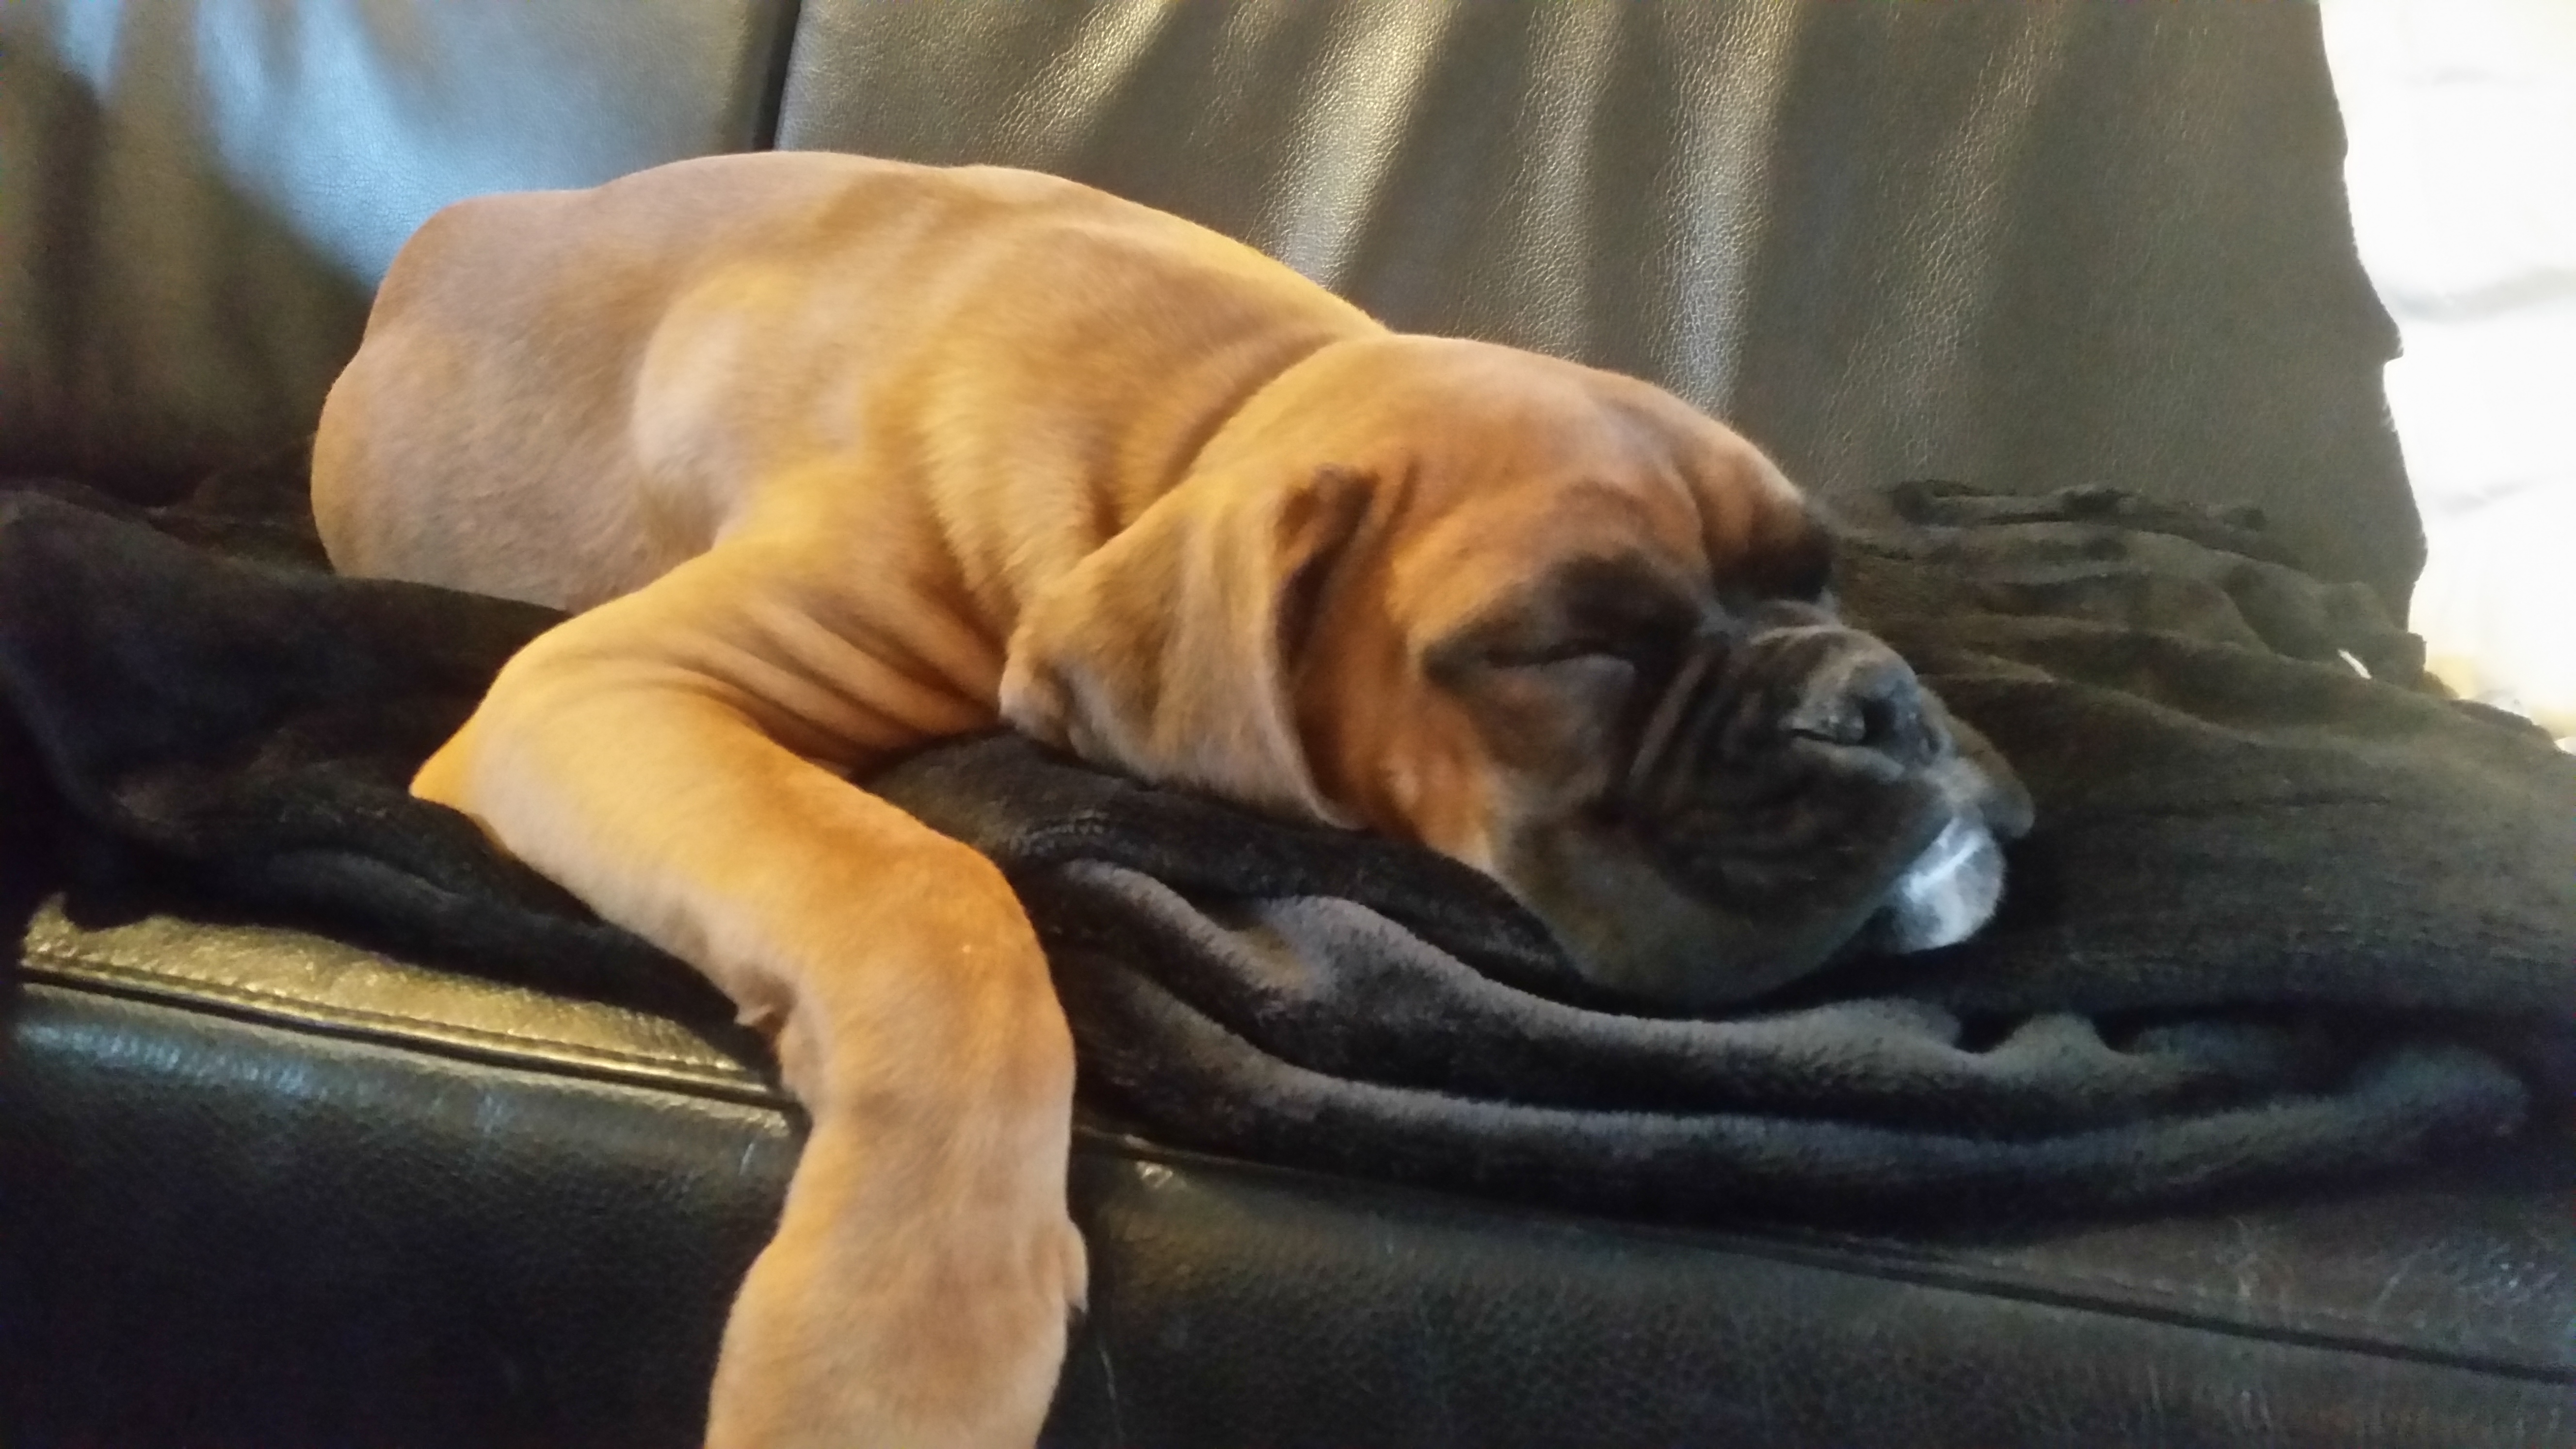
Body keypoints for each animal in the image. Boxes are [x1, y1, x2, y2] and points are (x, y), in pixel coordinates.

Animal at [312, 150, 2028, 1449]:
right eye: (1571, 647)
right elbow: (930, 897)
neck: (1197, 414)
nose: (1870, 699)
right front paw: (902, 1333)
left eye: (1819, 574)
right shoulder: (595, 691)